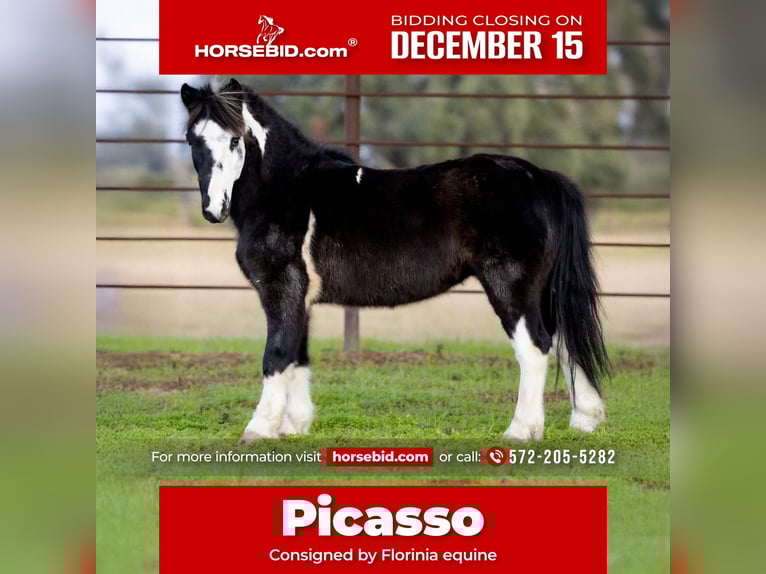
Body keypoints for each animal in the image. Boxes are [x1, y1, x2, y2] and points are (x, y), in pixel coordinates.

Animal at [180, 78, 610, 444]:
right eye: (192, 139)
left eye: (235, 140)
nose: (213, 208)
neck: (290, 192)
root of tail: (542, 178)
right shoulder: (299, 296)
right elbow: (297, 355)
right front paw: (294, 426)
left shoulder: (280, 287)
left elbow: (276, 355)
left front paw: (259, 429)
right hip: (544, 290)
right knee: (566, 343)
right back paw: (585, 420)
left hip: (513, 288)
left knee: (535, 348)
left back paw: (521, 430)